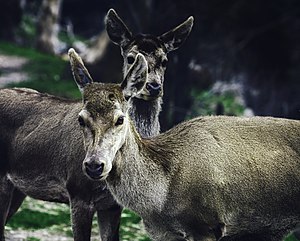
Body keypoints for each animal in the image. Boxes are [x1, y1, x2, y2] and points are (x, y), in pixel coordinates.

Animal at [74, 54, 300, 241]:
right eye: (81, 119)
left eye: (120, 119)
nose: (95, 165)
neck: (161, 200)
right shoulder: (164, 234)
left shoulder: (207, 224)